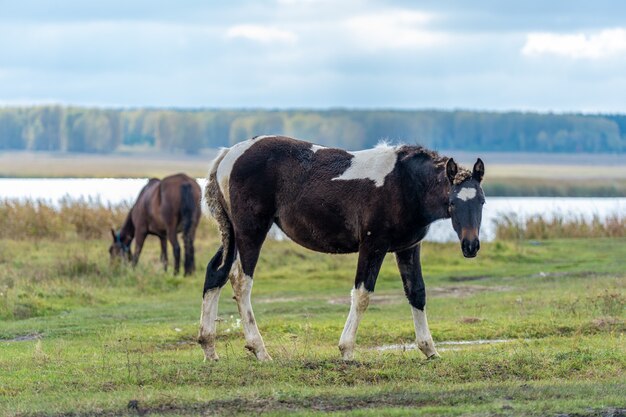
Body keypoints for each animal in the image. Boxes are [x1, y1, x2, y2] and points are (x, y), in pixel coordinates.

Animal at [197, 135, 486, 360]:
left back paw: (209, 347)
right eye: (452, 203)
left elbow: (417, 292)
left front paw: (429, 350)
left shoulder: (408, 248)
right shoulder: (373, 245)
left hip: (232, 233)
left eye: (482, 201)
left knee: (216, 273)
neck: (405, 184)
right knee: (240, 280)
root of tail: (229, 154)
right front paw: (347, 350)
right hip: (251, 230)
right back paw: (259, 350)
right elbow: (362, 294)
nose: (471, 246)